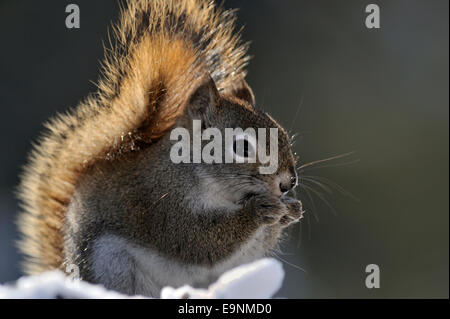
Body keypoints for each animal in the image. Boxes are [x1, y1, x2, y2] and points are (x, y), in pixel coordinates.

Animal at [19, 0, 304, 298]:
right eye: (242, 146)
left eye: (284, 134)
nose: (288, 183)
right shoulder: (160, 202)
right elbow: (198, 241)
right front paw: (258, 211)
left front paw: (291, 210)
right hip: (111, 265)